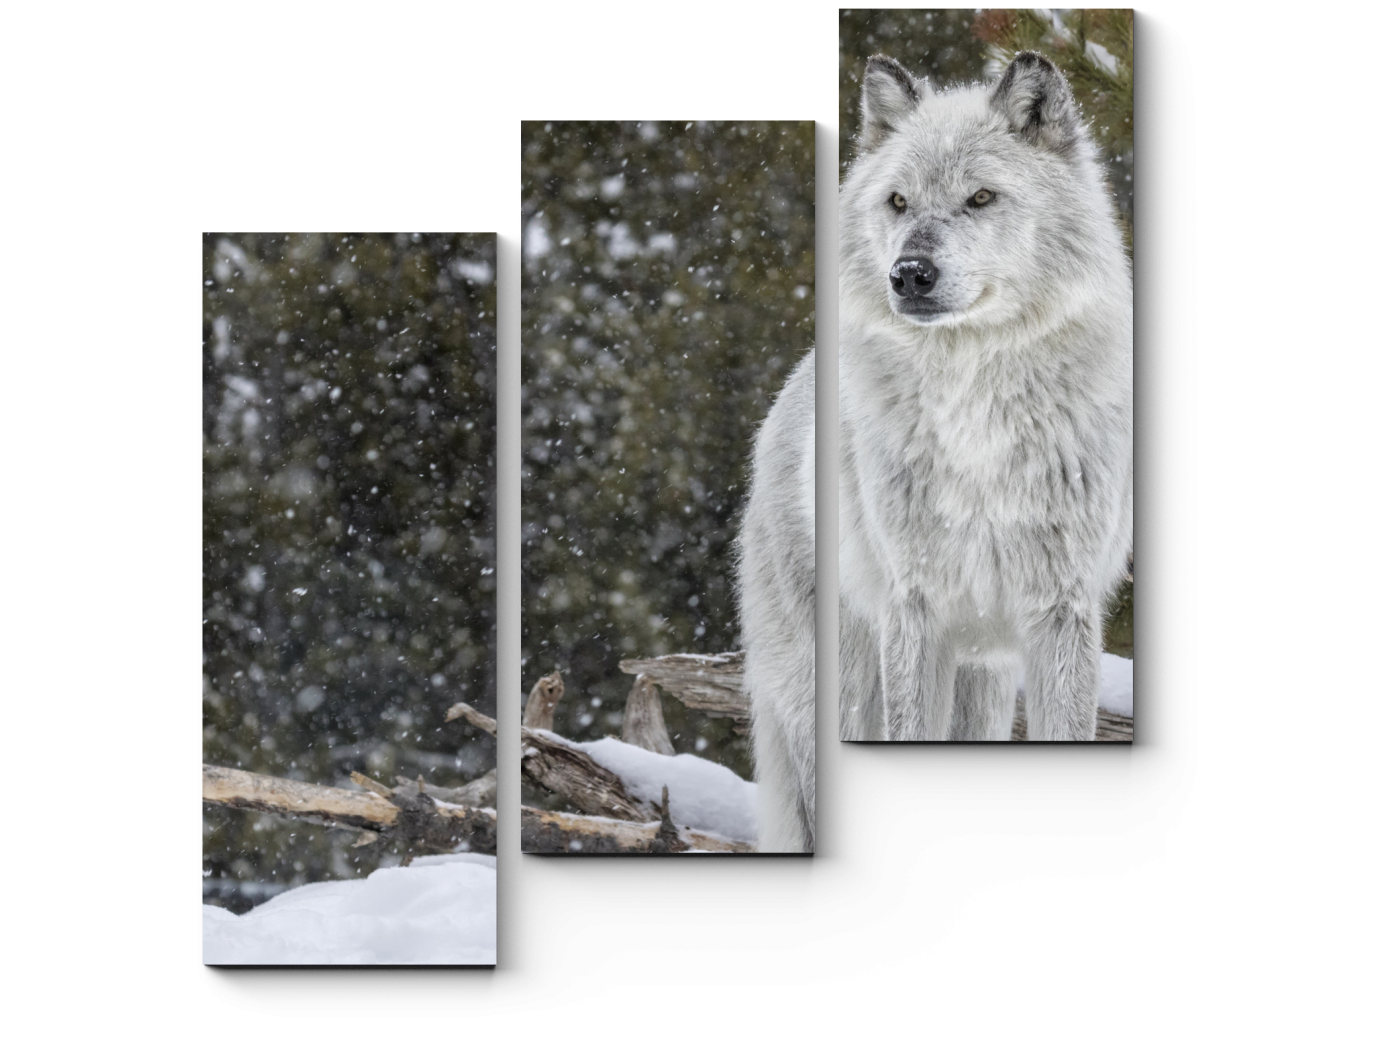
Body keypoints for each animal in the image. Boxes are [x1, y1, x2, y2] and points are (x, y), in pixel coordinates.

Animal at [834, 49, 1131, 739]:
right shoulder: (913, 604)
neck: (974, 403)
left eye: (981, 197)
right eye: (898, 201)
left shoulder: (1061, 607)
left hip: (986, 673)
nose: (910, 274)